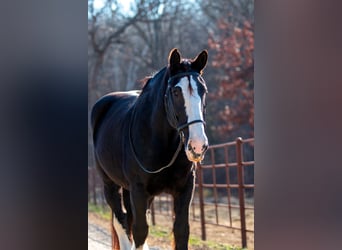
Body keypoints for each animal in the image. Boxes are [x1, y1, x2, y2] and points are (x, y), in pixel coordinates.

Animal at [91, 48, 208, 250]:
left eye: (204, 91)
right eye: (176, 92)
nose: (198, 145)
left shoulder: (185, 188)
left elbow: (181, 230)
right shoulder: (138, 190)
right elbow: (140, 231)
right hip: (110, 185)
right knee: (121, 221)